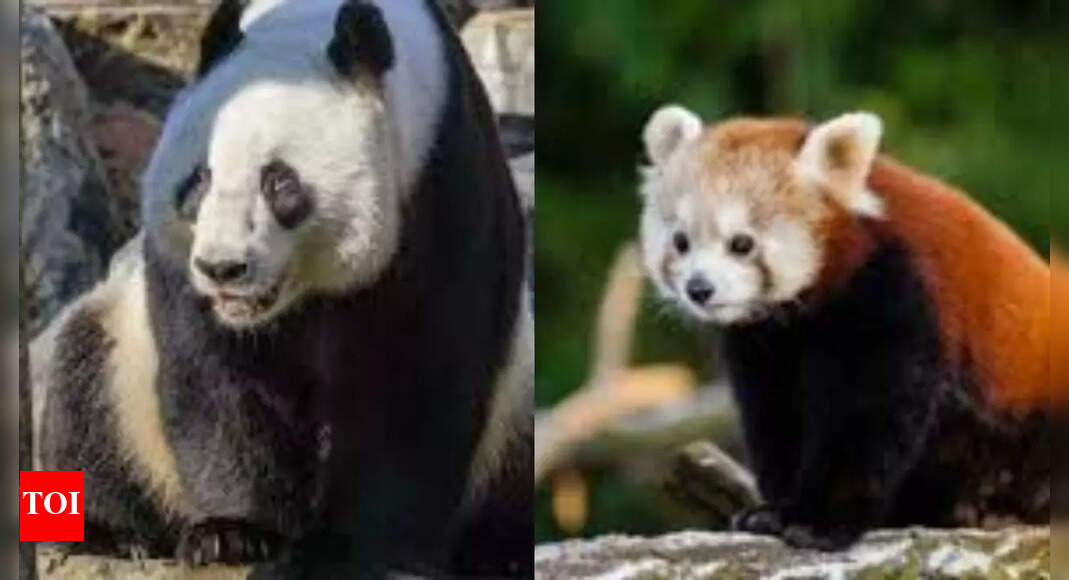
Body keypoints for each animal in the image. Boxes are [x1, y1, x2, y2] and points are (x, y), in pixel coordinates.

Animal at [32, 0, 532, 576]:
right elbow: (213, 375)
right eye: (197, 180)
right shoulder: (181, 271)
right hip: (124, 365)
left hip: (512, 408)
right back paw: (111, 534)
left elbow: (421, 374)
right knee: (85, 388)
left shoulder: (441, 186)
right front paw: (234, 533)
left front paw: (353, 546)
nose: (223, 268)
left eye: (280, 184)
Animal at [637, 106, 1049, 550]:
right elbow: (777, 415)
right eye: (681, 242)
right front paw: (775, 509)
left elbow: (866, 418)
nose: (699, 288)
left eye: (741, 243)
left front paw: (817, 520)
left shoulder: (893, 290)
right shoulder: (768, 346)